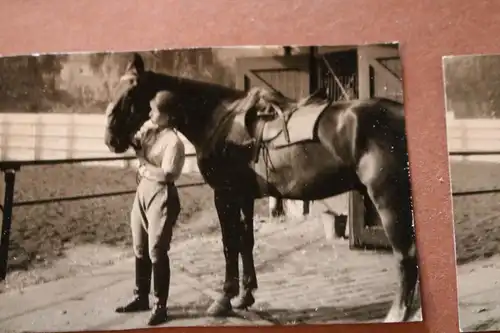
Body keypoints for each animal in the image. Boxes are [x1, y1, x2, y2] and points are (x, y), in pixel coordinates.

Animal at [104, 53, 418, 322]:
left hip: (388, 199)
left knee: (406, 254)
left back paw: (397, 314)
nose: (111, 139)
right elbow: (246, 242)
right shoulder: (244, 197)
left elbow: (230, 244)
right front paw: (245, 296)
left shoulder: (225, 195)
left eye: (130, 93)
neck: (218, 120)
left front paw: (224, 299)